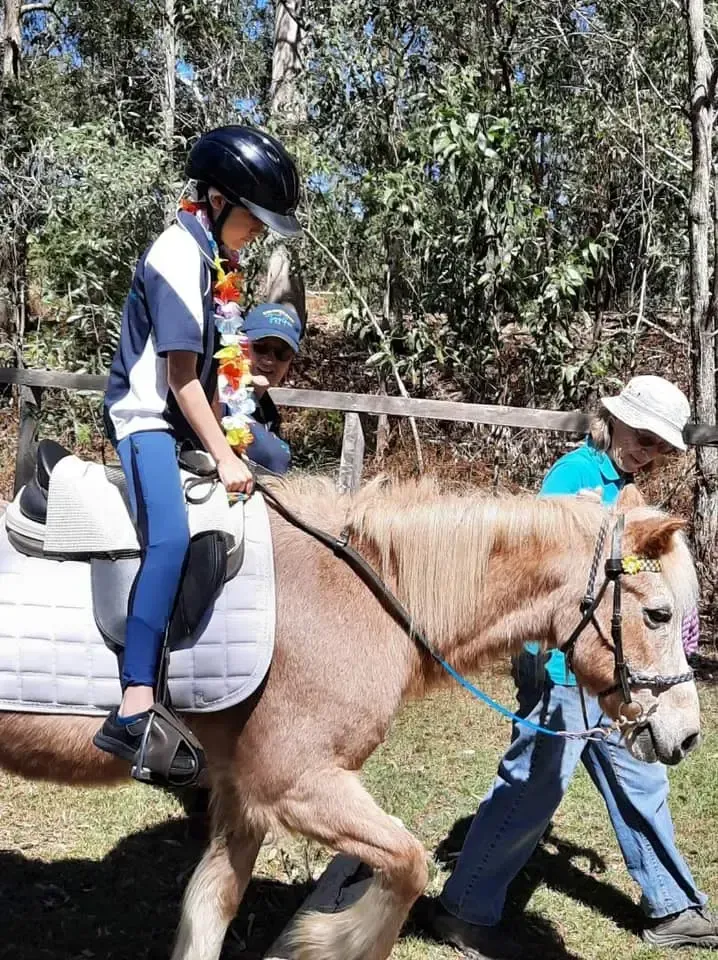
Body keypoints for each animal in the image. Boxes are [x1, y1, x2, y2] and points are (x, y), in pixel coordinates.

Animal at [0, 476, 701, 960]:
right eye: (659, 614)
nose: (687, 735)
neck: (363, 592)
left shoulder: (244, 796)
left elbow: (211, 906)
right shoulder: (297, 784)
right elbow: (409, 862)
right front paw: (324, 941)